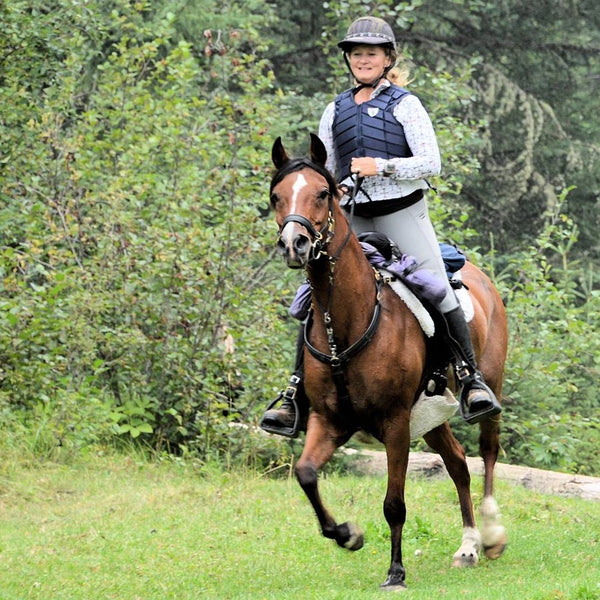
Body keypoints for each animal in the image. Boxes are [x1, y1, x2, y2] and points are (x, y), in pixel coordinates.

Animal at [270, 132, 508, 592]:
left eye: (322, 193)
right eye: (276, 196)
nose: (295, 244)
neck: (348, 320)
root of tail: (481, 278)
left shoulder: (396, 423)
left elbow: (394, 502)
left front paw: (395, 571)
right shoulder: (329, 420)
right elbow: (306, 474)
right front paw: (346, 534)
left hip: (487, 388)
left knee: (487, 450)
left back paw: (490, 534)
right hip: (430, 416)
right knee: (458, 464)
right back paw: (468, 546)